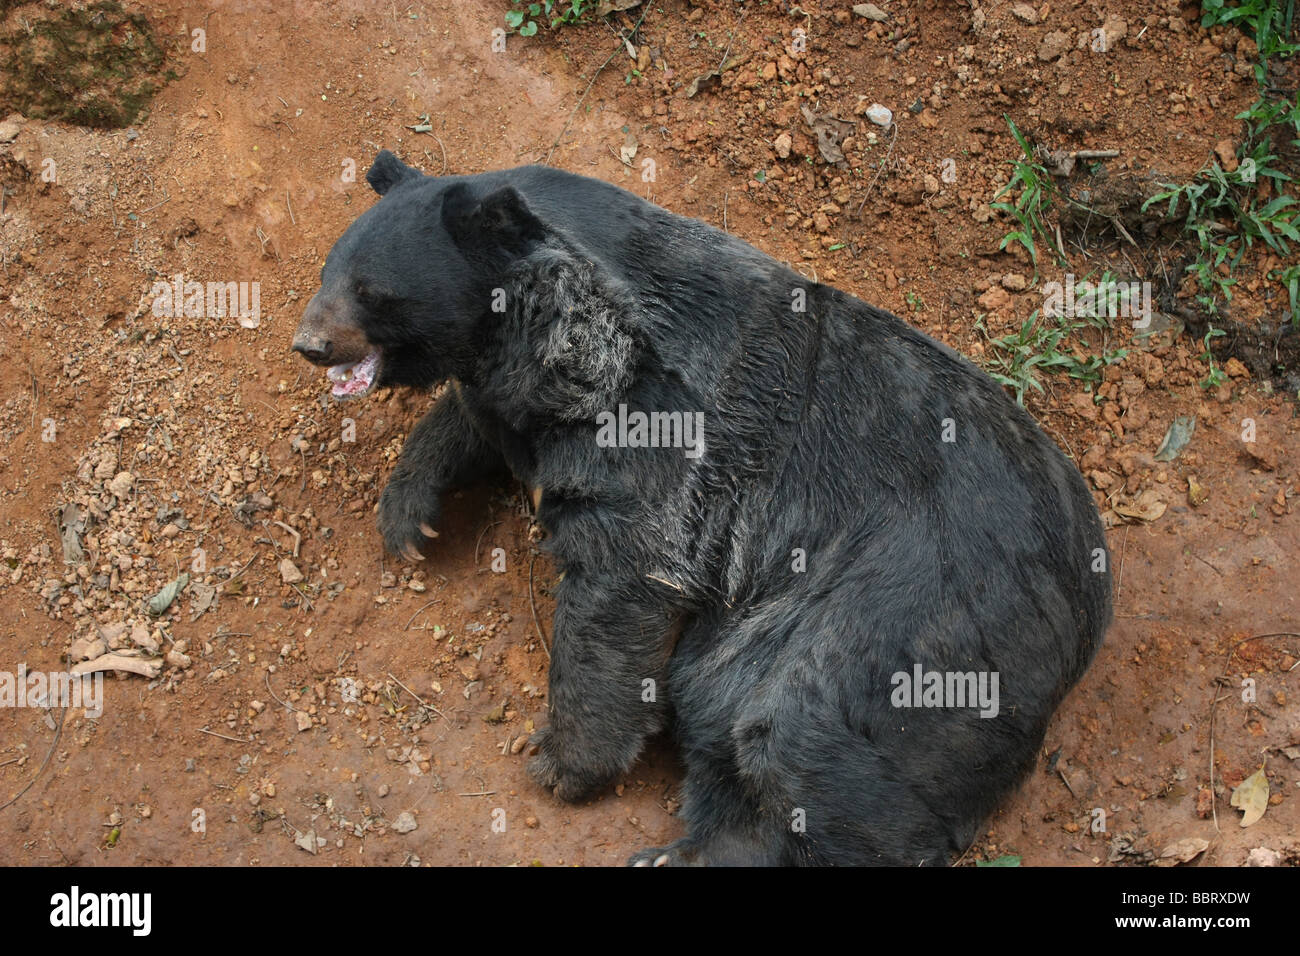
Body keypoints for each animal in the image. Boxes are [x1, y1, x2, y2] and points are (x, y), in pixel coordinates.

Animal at [297, 151, 1118, 868]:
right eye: (328, 272)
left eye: (371, 289)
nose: (309, 344)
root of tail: (1092, 613)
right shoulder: (521, 398)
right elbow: (476, 424)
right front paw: (410, 515)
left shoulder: (657, 434)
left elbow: (620, 575)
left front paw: (563, 761)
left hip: (912, 621)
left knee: (803, 738)